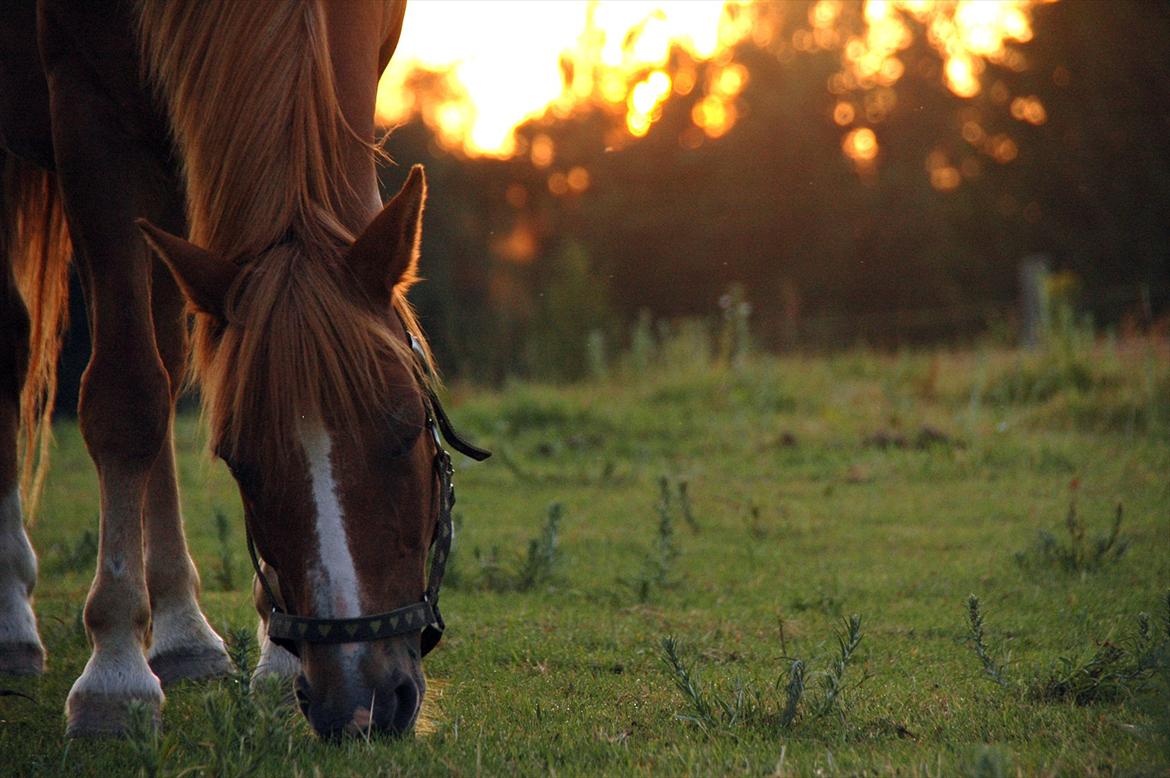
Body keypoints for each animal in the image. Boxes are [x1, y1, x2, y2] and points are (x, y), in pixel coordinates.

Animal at [0, 0, 484, 739]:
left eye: (407, 431)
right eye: (238, 462)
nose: (359, 703)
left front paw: (274, 661)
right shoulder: (87, 108)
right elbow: (125, 393)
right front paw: (114, 675)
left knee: (168, 360)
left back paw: (183, 634)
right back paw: (15, 620)